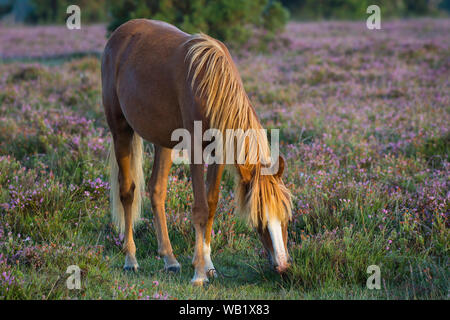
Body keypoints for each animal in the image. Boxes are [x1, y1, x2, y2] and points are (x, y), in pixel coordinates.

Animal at [101, 19, 292, 284]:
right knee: (127, 191)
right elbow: (200, 208)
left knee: (156, 190)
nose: (283, 266)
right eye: (259, 219)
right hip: (120, 130)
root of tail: (120, 34)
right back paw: (131, 259)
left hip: (163, 141)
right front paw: (199, 273)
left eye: (285, 217)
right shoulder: (194, 152)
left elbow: (211, 205)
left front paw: (208, 264)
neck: (209, 86)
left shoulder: (219, 154)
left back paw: (170, 260)